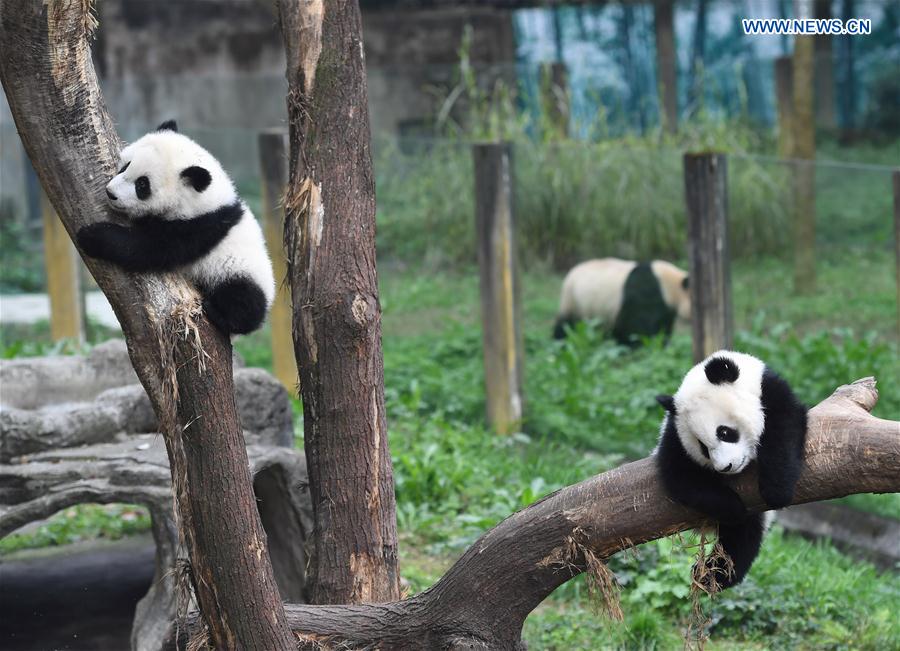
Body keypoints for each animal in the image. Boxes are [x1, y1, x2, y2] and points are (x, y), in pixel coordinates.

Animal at [77, 120, 275, 336]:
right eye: (126, 166)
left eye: (142, 185)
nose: (110, 193)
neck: (206, 200)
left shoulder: (199, 227)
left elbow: (150, 248)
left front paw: (91, 236)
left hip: (239, 272)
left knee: (244, 301)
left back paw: (220, 313)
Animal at [553, 258, 690, 346]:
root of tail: (571, 272)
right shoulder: (646, 292)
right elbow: (637, 326)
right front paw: (640, 345)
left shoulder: (666, 308)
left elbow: (664, 325)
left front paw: (663, 343)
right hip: (572, 298)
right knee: (565, 325)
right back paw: (560, 344)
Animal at [654, 351, 808, 590]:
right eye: (703, 448)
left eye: (724, 432)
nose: (725, 467)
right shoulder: (674, 435)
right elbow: (682, 478)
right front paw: (734, 508)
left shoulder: (772, 393)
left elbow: (785, 430)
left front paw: (777, 491)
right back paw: (710, 573)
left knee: (743, 541)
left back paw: (714, 574)